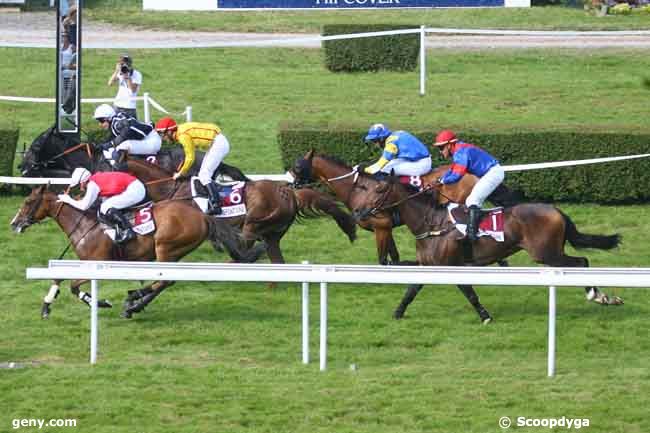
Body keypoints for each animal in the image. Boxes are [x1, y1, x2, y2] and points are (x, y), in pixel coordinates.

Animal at [12, 183, 256, 318]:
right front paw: (46, 306)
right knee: (165, 282)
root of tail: (202, 216)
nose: (14, 224)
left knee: (164, 281)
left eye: (28, 201)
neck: (84, 224)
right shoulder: (83, 262)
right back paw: (134, 304)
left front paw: (100, 302)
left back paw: (133, 300)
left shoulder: (98, 263)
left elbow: (73, 286)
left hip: (165, 248)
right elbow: (58, 277)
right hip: (174, 253)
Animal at [290, 150, 520, 264]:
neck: (357, 188)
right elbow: (394, 257)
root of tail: (475, 172)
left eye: (298, 167)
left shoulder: (381, 225)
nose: (291, 184)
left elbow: (383, 259)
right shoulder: (385, 228)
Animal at [354, 173, 624, 320]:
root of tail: (556, 210)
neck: (431, 222)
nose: (358, 211)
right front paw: (398, 313)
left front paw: (485, 316)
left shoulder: (452, 266)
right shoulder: (429, 265)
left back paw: (598, 295)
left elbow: (469, 292)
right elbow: (412, 289)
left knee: (582, 262)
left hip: (546, 253)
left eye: (379, 189)